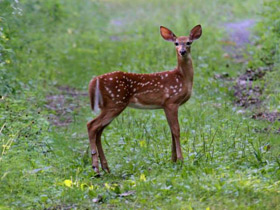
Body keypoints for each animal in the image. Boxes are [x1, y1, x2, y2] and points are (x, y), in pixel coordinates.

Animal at [87, 24, 201, 175]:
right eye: (176, 43)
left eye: (189, 42)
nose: (182, 51)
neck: (182, 78)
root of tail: (95, 80)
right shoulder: (171, 101)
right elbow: (176, 130)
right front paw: (181, 160)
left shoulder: (165, 105)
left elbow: (171, 131)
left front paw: (173, 160)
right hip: (115, 102)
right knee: (92, 125)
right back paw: (96, 168)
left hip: (109, 105)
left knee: (98, 130)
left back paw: (105, 167)